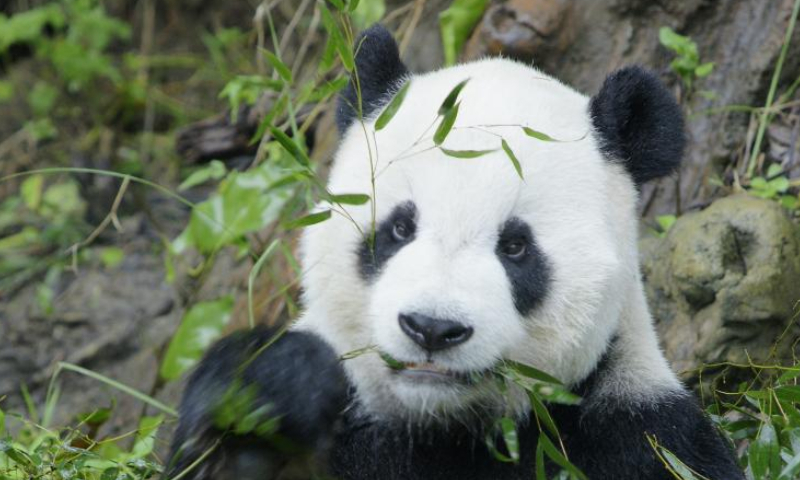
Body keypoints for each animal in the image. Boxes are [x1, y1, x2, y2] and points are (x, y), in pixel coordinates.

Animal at [165, 25, 744, 480]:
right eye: (399, 228)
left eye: (515, 247)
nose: (432, 328)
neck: (441, 425)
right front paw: (272, 397)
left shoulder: (635, 430)